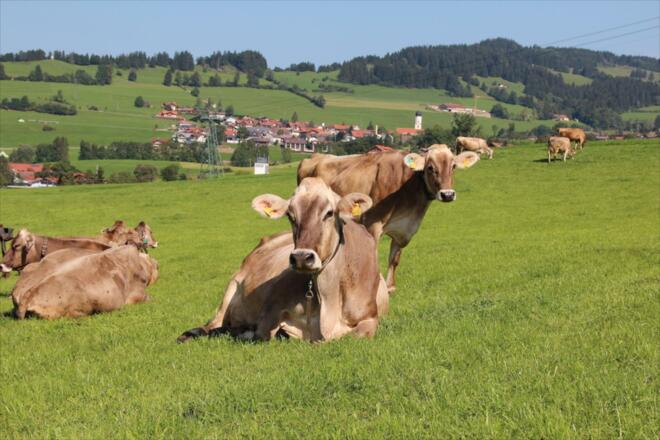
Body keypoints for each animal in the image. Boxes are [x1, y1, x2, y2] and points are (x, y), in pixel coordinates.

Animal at [178, 177, 389, 343]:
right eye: (290, 215)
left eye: (329, 213)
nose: (302, 257)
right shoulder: (272, 305)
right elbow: (263, 333)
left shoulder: (370, 318)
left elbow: (358, 333)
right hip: (232, 287)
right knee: (212, 324)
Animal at [297, 145, 480, 292]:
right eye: (430, 167)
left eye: (453, 166)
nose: (447, 194)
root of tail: (315, 157)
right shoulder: (372, 223)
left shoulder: (404, 231)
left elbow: (395, 259)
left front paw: (390, 287)